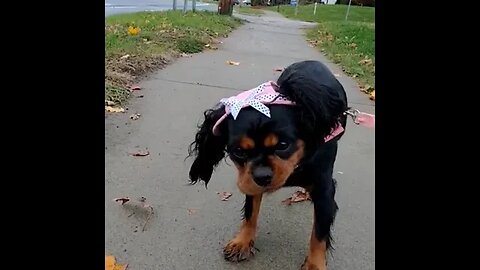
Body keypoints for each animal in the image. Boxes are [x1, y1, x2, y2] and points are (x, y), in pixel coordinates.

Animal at [188, 60, 348, 268]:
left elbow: (319, 234)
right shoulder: (249, 180)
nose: (262, 176)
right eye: (238, 151)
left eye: (283, 145)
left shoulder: (324, 192)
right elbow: (250, 212)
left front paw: (315, 264)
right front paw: (242, 242)